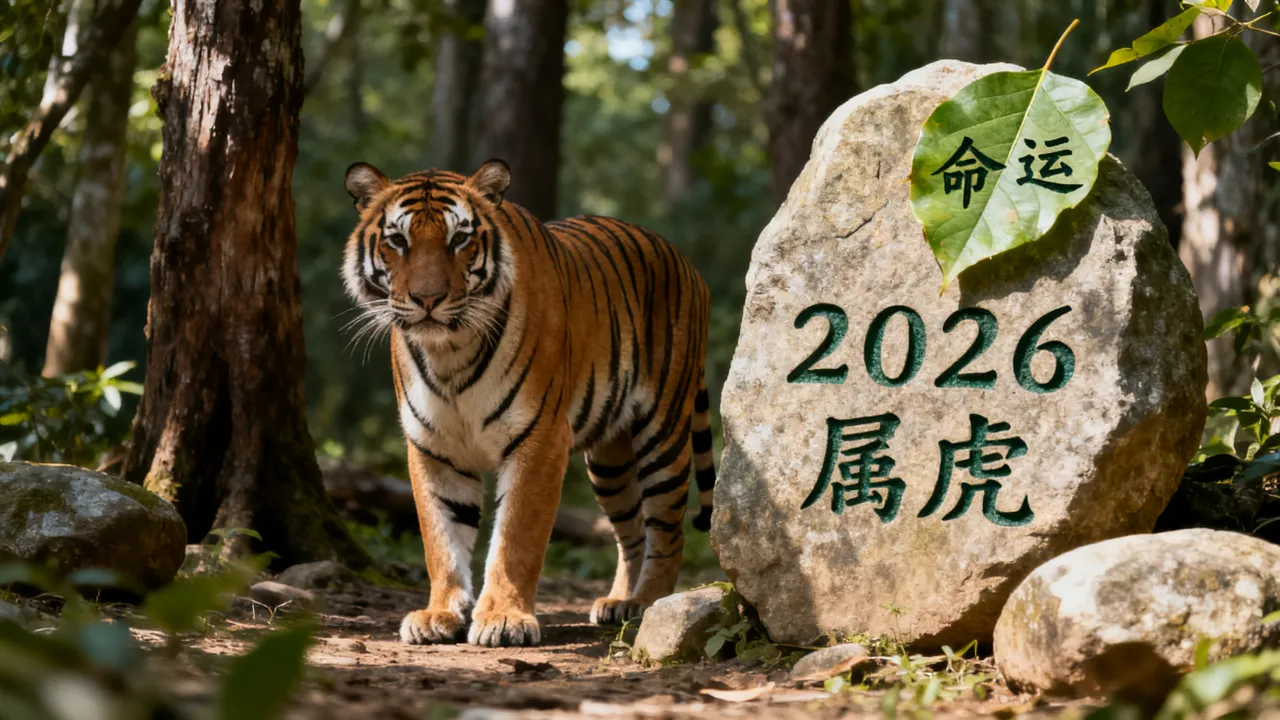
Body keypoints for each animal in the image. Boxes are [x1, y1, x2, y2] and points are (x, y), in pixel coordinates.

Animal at [341, 158, 718, 647]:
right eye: (398, 241)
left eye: (459, 239)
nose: (428, 299)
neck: (450, 353)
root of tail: (687, 263)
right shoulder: (432, 446)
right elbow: (440, 537)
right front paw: (438, 614)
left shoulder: (539, 438)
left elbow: (516, 536)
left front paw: (503, 619)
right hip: (610, 462)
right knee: (631, 531)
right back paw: (619, 602)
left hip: (663, 433)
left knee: (667, 529)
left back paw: (648, 603)